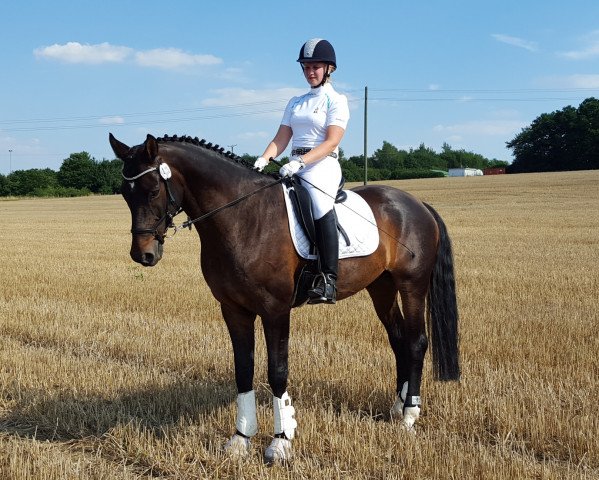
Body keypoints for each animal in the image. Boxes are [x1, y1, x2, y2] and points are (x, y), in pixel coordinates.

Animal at [110, 133, 462, 464]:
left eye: (152, 189)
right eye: (126, 193)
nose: (143, 254)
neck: (242, 216)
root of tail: (417, 203)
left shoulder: (275, 310)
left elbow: (277, 371)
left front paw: (281, 442)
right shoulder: (233, 309)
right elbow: (243, 370)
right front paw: (240, 440)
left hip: (412, 284)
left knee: (416, 342)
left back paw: (409, 416)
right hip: (381, 286)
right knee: (398, 339)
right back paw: (397, 407)